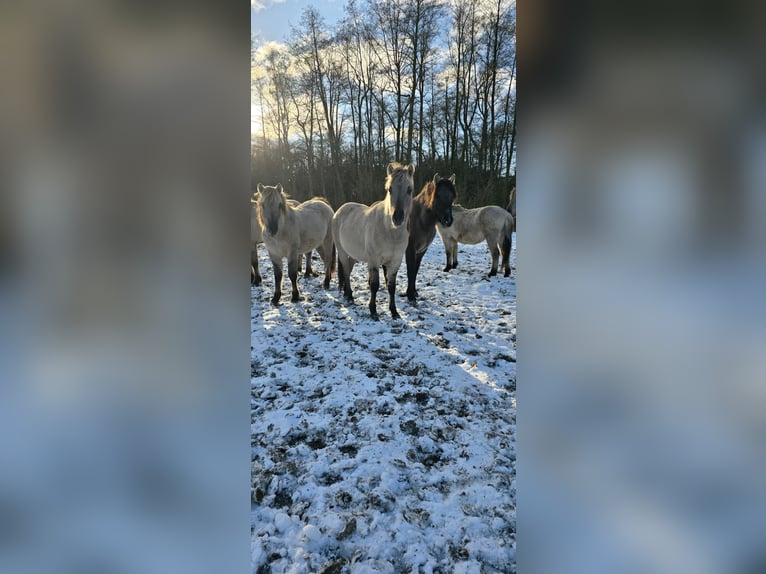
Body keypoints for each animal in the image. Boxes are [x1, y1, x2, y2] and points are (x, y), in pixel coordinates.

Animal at [332, 164, 416, 322]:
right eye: (390, 189)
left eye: (409, 189)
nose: (397, 218)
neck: (390, 232)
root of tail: (339, 210)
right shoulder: (374, 260)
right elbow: (375, 285)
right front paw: (373, 311)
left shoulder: (395, 262)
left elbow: (391, 286)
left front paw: (394, 311)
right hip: (343, 252)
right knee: (345, 271)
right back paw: (349, 296)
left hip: (354, 255)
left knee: (348, 270)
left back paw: (347, 293)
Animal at [404, 173, 460, 304]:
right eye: (438, 196)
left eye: (452, 197)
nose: (448, 221)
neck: (420, 221)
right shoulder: (410, 250)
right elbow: (410, 270)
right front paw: (410, 295)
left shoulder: (421, 251)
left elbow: (415, 270)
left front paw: (414, 292)